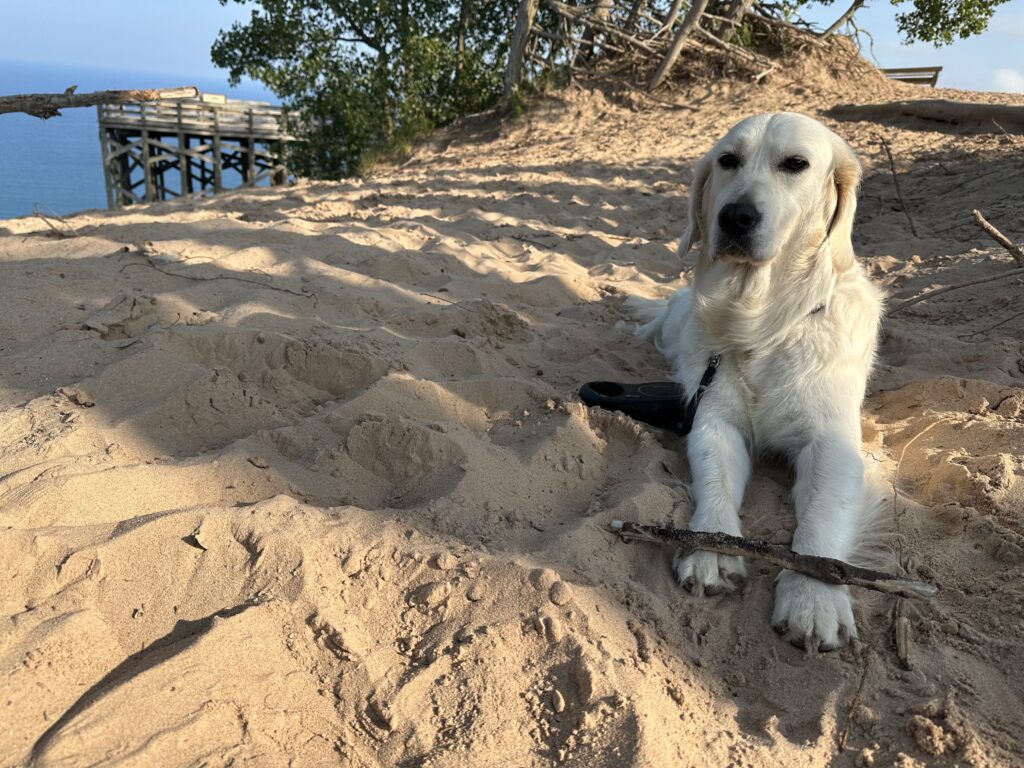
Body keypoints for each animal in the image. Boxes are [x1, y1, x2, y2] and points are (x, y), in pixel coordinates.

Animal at [635, 113, 885, 651]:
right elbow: (715, 479)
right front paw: (711, 549)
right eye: (728, 160)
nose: (736, 217)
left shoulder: (834, 444)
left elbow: (822, 514)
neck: (762, 323)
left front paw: (814, 598)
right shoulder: (714, 419)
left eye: (795, 164)